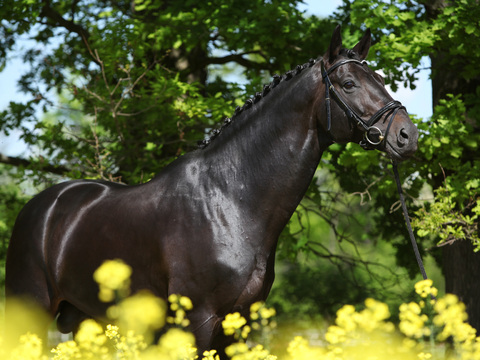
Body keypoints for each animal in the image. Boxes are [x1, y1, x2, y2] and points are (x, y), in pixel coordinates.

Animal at [5, 26, 416, 352]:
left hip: (84, 320)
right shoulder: (197, 321)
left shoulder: (238, 325)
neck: (230, 201)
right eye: (349, 84)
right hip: (33, 311)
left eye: (381, 80)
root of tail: (43, 205)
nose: (407, 136)